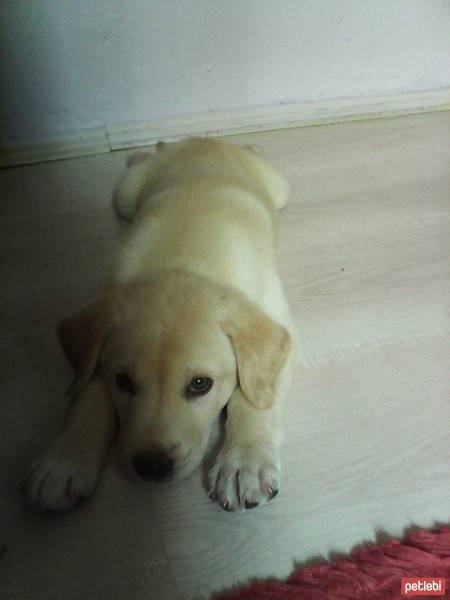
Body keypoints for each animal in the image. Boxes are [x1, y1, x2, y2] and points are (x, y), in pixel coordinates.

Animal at [24, 136, 294, 510]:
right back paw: (146, 150)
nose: (151, 466)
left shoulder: (276, 320)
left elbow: (253, 396)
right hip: (125, 195)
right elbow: (88, 393)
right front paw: (64, 460)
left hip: (279, 187)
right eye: (123, 382)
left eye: (200, 384)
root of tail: (203, 138)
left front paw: (244, 461)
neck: (186, 262)